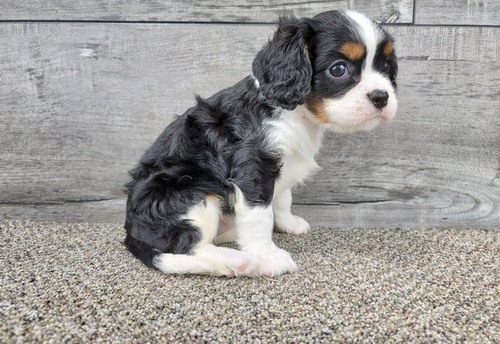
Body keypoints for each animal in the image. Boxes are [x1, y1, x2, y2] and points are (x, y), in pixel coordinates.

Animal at [124, 10, 398, 276]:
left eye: (386, 65)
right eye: (338, 69)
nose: (381, 97)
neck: (296, 115)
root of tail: (131, 232)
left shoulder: (282, 165)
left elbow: (283, 197)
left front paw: (287, 223)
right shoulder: (254, 165)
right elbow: (259, 216)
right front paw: (268, 256)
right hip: (190, 188)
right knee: (188, 246)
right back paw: (238, 261)